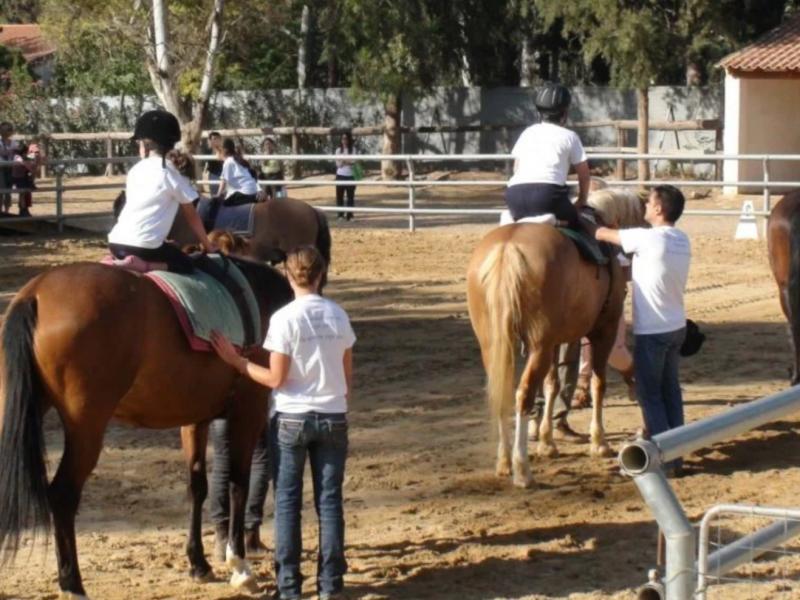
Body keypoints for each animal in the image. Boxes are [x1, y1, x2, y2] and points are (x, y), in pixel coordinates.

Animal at [0, 256, 294, 596]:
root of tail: (36, 292)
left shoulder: (195, 419)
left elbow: (197, 486)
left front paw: (198, 563)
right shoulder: (248, 412)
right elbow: (238, 484)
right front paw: (240, 566)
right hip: (86, 429)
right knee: (62, 495)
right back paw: (72, 583)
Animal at [468, 190, 644, 490]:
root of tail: (508, 248)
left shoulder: (556, 340)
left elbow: (552, 385)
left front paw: (547, 442)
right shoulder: (603, 331)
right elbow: (598, 383)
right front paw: (599, 442)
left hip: (496, 345)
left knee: (502, 393)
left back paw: (504, 463)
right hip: (539, 345)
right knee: (523, 395)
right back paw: (522, 470)